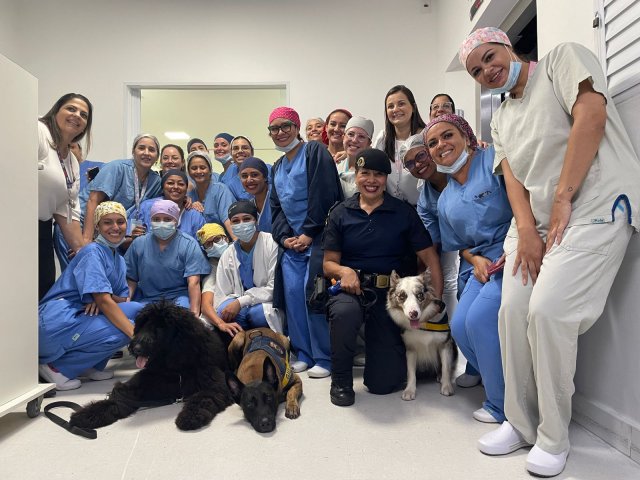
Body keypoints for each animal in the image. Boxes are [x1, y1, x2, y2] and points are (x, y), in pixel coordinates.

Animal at [70, 301, 232, 431]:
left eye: (161, 327)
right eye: (143, 324)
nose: (135, 348)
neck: (174, 369)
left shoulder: (215, 385)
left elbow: (201, 398)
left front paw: (190, 416)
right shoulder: (141, 382)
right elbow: (118, 397)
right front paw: (89, 414)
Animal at [387, 270, 457, 400]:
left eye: (420, 295)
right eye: (402, 296)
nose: (413, 313)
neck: (423, 325)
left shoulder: (444, 345)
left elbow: (446, 367)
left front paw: (447, 386)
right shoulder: (410, 349)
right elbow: (411, 372)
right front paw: (409, 390)